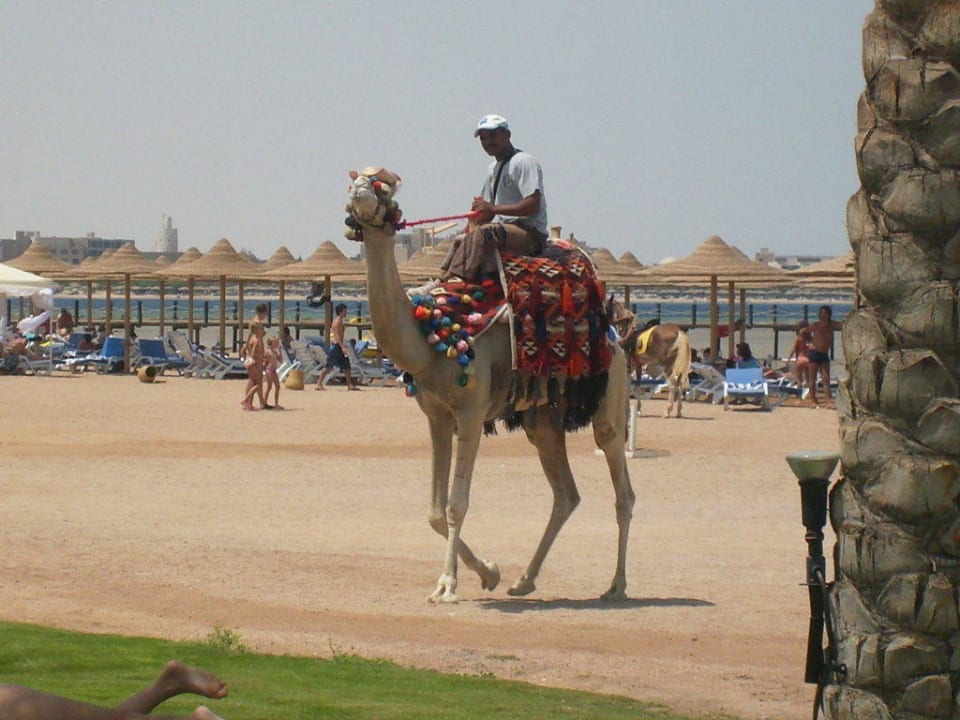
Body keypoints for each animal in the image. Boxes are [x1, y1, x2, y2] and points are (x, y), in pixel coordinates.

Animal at [346, 168, 635, 603]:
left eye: (383, 187)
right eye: (353, 183)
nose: (359, 192)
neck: (431, 336)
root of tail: (615, 331)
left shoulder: (470, 408)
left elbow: (456, 504)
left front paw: (447, 585)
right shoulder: (436, 414)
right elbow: (434, 510)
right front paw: (490, 573)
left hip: (609, 396)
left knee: (621, 487)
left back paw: (616, 585)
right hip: (542, 420)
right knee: (566, 494)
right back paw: (524, 580)